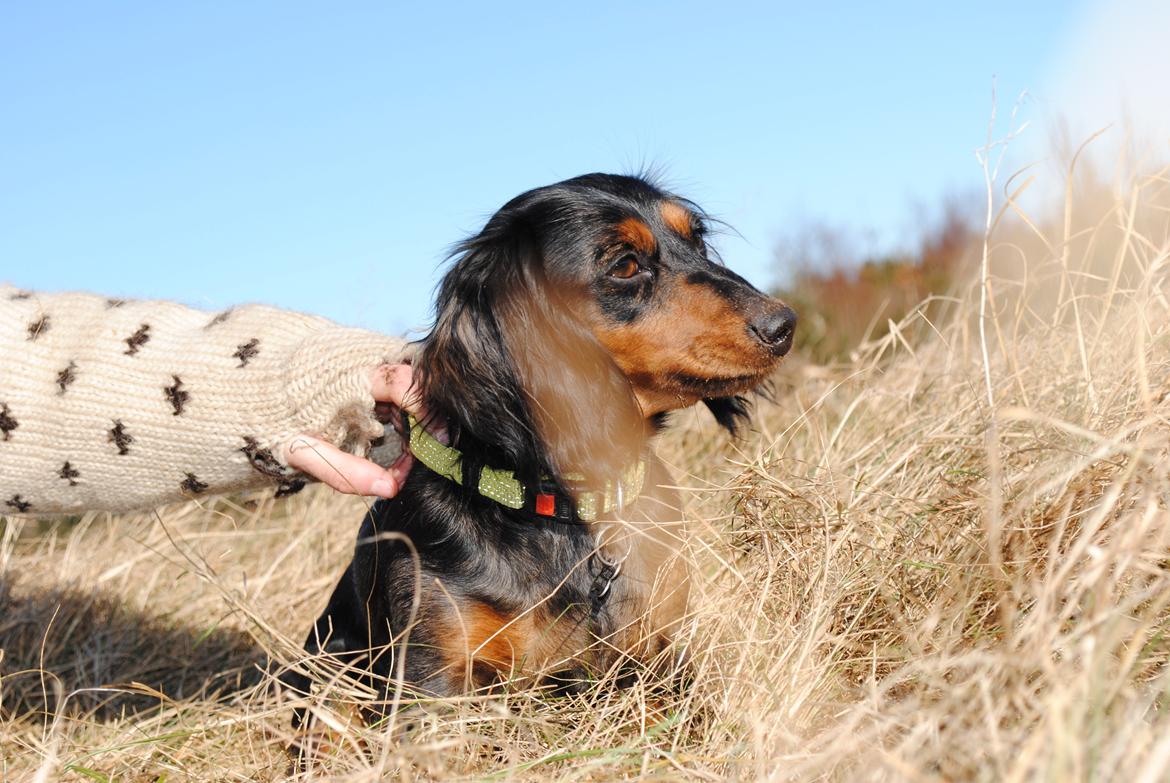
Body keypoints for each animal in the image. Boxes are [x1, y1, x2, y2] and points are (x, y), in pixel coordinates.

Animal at [283, 175, 795, 716]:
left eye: (696, 240)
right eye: (625, 265)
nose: (783, 325)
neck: (563, 514)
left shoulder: (661, 653)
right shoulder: (434, 675)